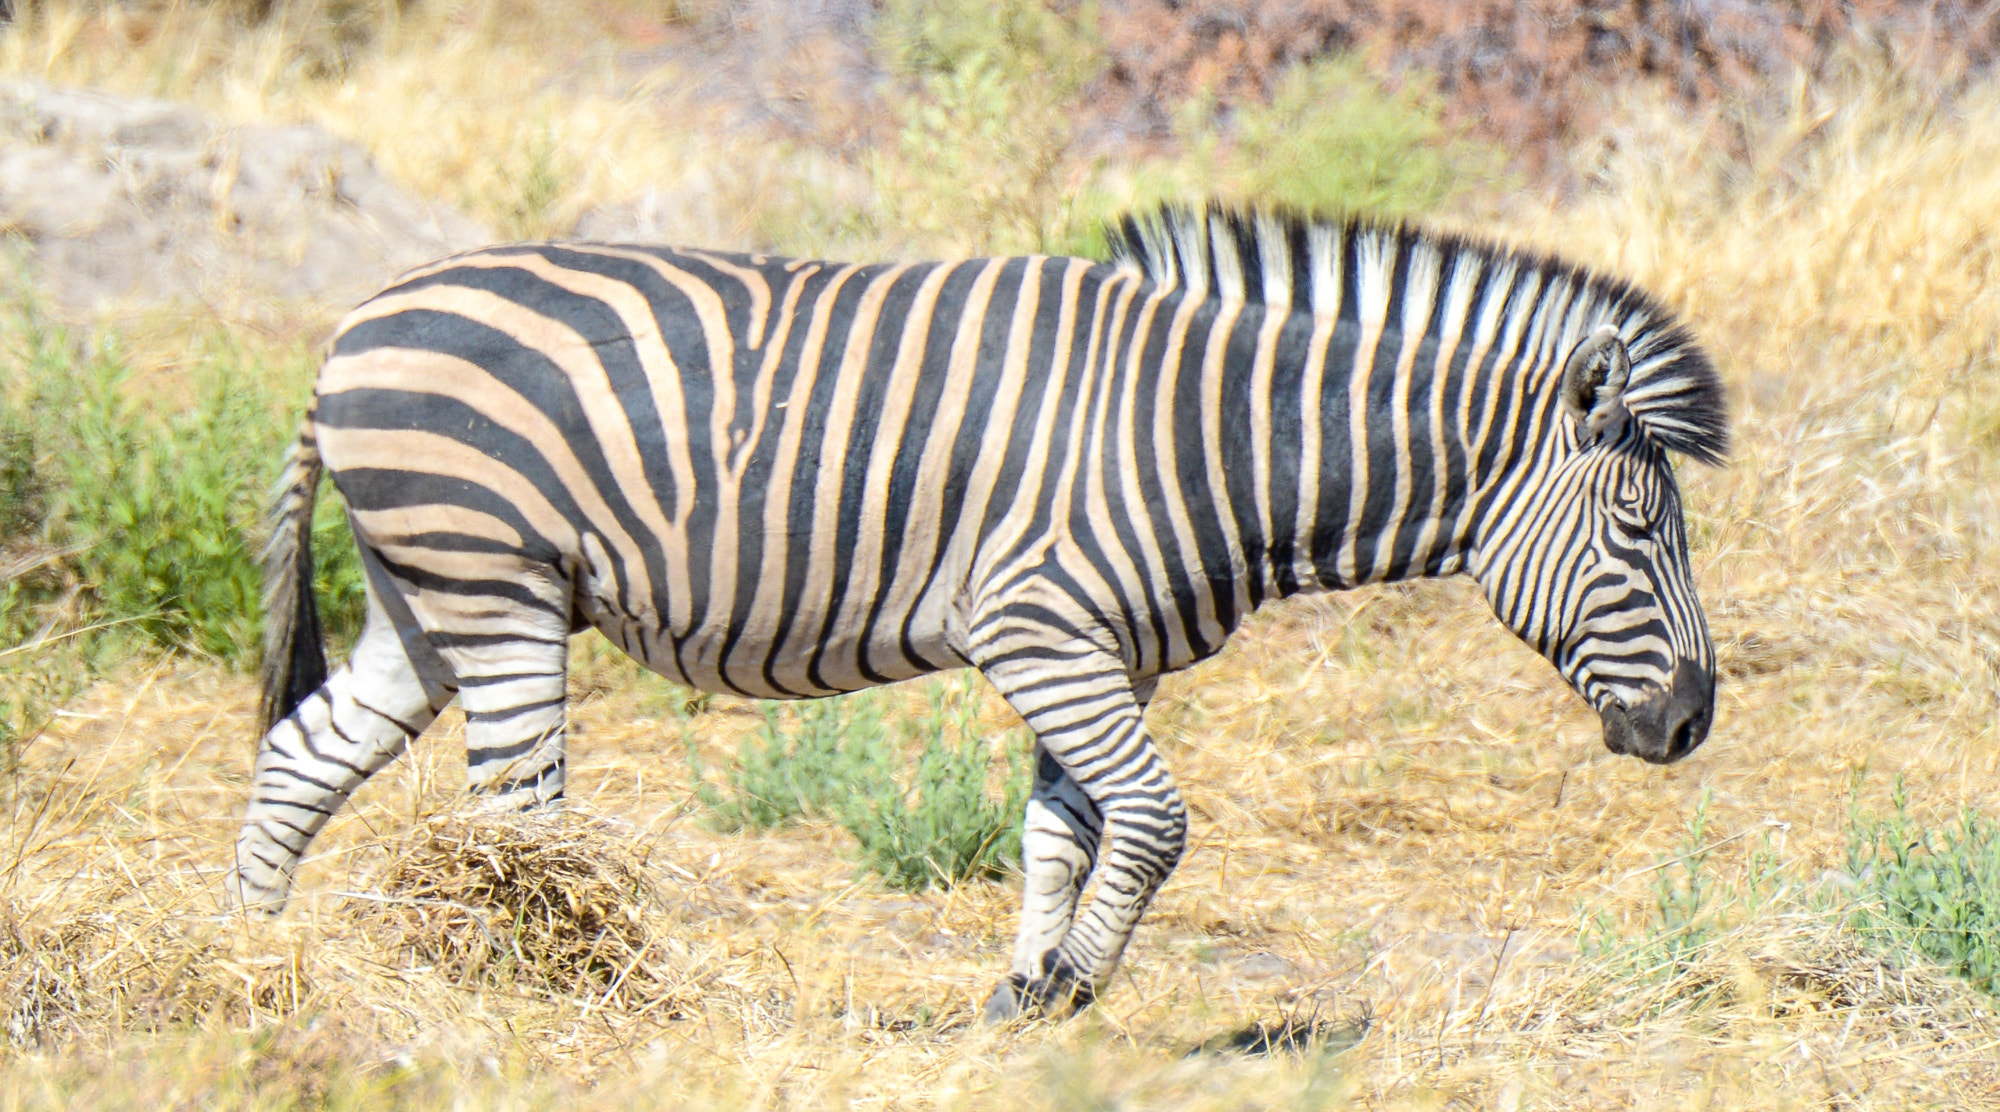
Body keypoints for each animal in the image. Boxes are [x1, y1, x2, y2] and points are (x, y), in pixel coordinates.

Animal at [230, 204, 1736, 1020]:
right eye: (1637, 529)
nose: (1691, 722)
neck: (1207, 437)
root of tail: (349, 328)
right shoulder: (1037, 628)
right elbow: (1155, 820)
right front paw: (1072, 984)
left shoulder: (1096, 649)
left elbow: (1065, 828)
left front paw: (1029, 988)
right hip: (494, 581)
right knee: (518, 809)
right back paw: (551, 980)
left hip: (424, 596)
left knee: (303, 752)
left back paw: (246, 953)